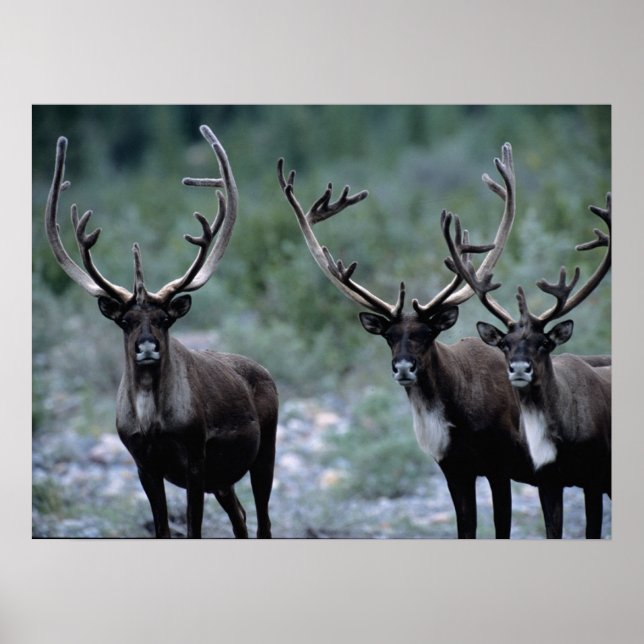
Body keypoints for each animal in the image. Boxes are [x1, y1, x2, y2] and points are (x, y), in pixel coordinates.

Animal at [44, 125, 279, 538]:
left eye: (165, 319)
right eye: (125, 321)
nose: (147, 347)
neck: (152, 419)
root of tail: (265, 373)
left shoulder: (196, 457)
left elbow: (194, 529)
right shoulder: (144, 464)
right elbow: (162, 529)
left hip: (263, 451)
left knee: (263, 522)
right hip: (224, 479)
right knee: (240, 517)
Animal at [277, 143, 548, 538]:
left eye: (428, 333)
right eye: (389, 336)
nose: (403, 367)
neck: (458, 413)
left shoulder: (500, 466)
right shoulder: (454, 470)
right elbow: (465, 528)